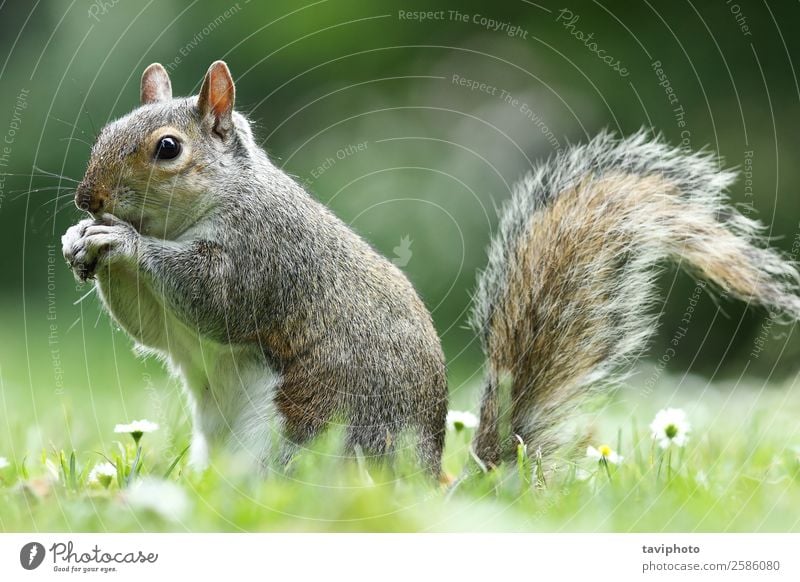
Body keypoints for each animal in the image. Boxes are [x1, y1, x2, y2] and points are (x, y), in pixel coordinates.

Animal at [61, 60, 800, 480]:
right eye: (106, 130)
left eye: (167, 148)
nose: (87, 199)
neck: (209, 207)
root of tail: (427, 483)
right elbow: (156, 328)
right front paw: (80, 241)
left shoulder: (265, 256)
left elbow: (212, 298)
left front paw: (121, 241)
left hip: (309, 442)